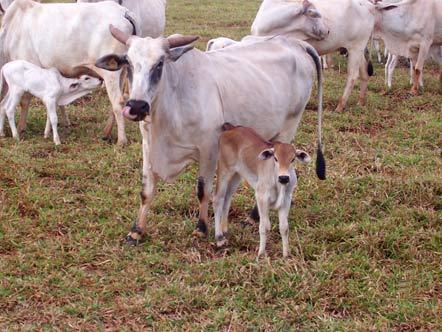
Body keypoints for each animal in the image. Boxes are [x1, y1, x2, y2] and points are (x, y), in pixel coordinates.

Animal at [95, 25, 326, 244]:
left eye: (160, 63)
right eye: (128, 62)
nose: (137, 106)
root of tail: (296, 43)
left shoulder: (209, 149)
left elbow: (203, 190)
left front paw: (201, 228)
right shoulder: (148, 147)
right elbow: (146, 191)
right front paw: (136, 231)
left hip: (287, 129)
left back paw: (253, 217)